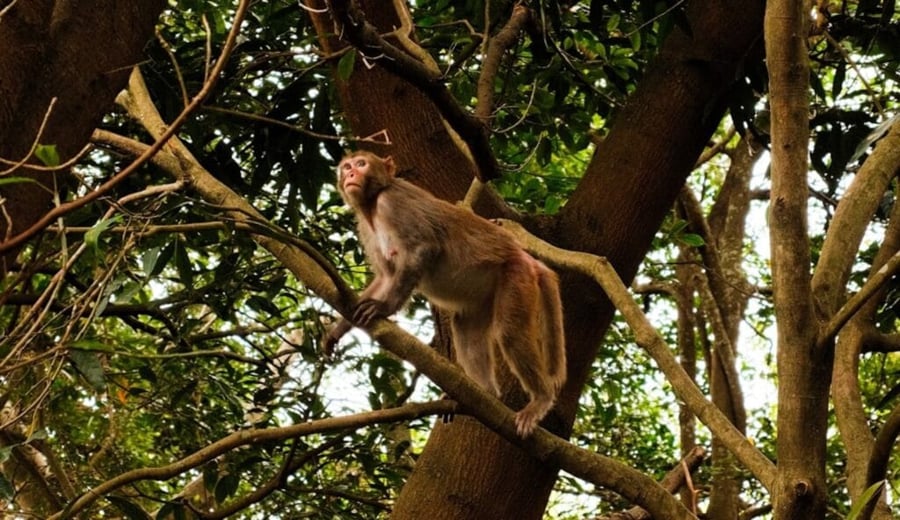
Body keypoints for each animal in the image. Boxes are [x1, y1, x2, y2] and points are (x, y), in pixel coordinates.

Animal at [323, 151, 566, 437]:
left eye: (361, 164)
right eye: (347, 166)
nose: (350, 174)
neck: (372, 206)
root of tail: (524, 256)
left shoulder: (392, 203)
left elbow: (424, 247)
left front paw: (384, 308)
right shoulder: (365, 225)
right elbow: (386, 278)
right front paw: (339, 328)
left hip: (515, 277)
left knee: (510, 333)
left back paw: (540, 399)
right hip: (485, 296)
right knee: (466, 329)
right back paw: (484, 394)